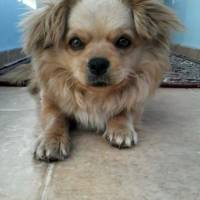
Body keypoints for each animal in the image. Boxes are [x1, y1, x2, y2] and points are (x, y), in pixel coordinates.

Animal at [19, 0, 181, 162]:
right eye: (75, 42)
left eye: (123, 41)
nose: (98, 64)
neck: (96, 96)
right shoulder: (49, 100)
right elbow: (56, 118)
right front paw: (51, 139)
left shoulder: (136, 102)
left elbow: (123, 111)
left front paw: (121, 128)